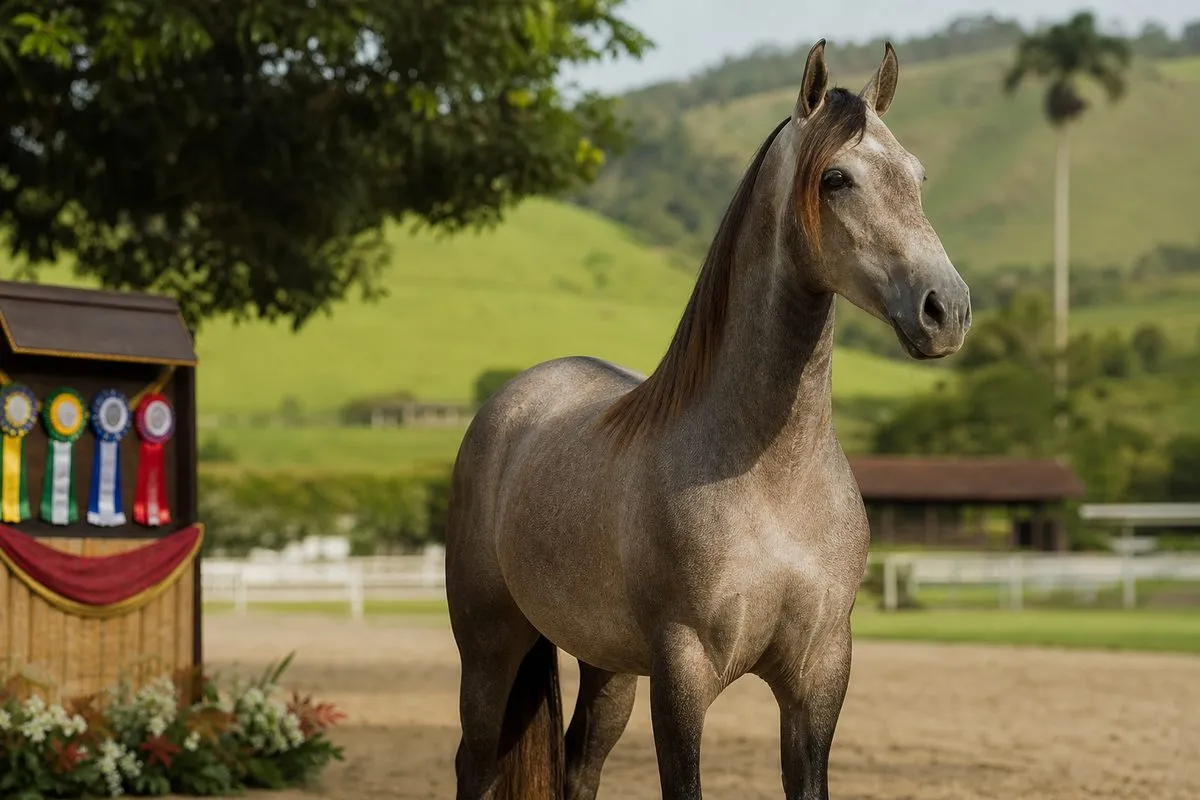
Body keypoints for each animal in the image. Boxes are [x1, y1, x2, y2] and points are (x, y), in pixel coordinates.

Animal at [445, 39, 970, 800]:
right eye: (836, 178)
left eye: (918, 175)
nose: (946, 309)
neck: (771, 478)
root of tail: (508, 406)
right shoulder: (683, 674)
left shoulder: (819, 678)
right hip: (489, 649)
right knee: (475, 764)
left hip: (606, 666)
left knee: (580, 764)